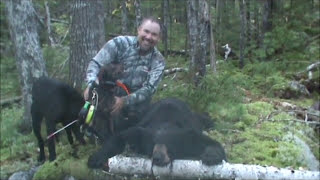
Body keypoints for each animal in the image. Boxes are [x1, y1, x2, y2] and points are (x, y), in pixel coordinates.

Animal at [87, 97, 226, 168]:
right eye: (151, 146)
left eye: (170, 145)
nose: (158, 158)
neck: (166, 120)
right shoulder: (139, 128)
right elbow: (120, 137)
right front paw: (95, 159)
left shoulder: (190, 130)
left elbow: (210, 143)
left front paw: (210, 156)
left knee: (204, 118)